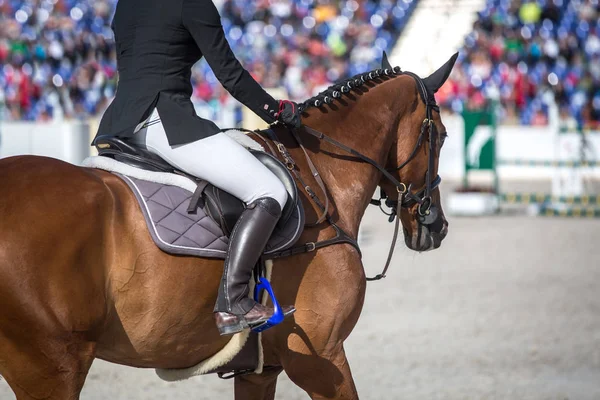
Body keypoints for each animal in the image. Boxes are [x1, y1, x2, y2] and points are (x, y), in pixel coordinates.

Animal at [0, 54, 454, 400]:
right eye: (444, 135)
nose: (437, 227)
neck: (319, 178)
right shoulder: (321, 358)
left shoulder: (260, 369)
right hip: (51, 365)